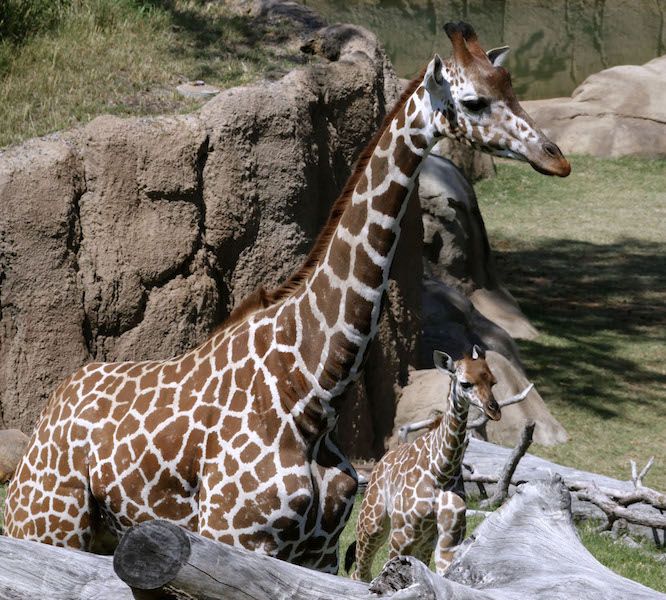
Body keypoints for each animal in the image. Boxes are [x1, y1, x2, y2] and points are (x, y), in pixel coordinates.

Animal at [344, 346, 496, 580]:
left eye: (493, 381)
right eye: (465, 383)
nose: (494, 409)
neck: (441, 469)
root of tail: (379, 463)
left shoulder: (449, 539)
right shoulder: (401, 536)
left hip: (423, 540)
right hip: (373, 524)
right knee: (359, 573)